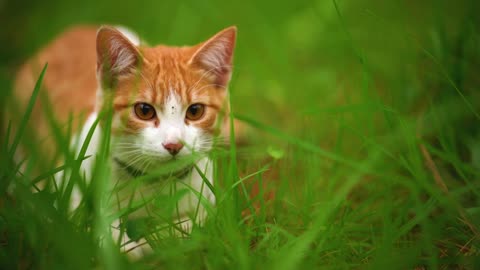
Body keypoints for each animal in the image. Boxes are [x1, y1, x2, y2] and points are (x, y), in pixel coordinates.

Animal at [11, 24, 236, 254]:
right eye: (144, 110)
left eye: (195, 111)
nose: (174, 144)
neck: (152, 184)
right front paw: (129, 246)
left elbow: (193, 227)